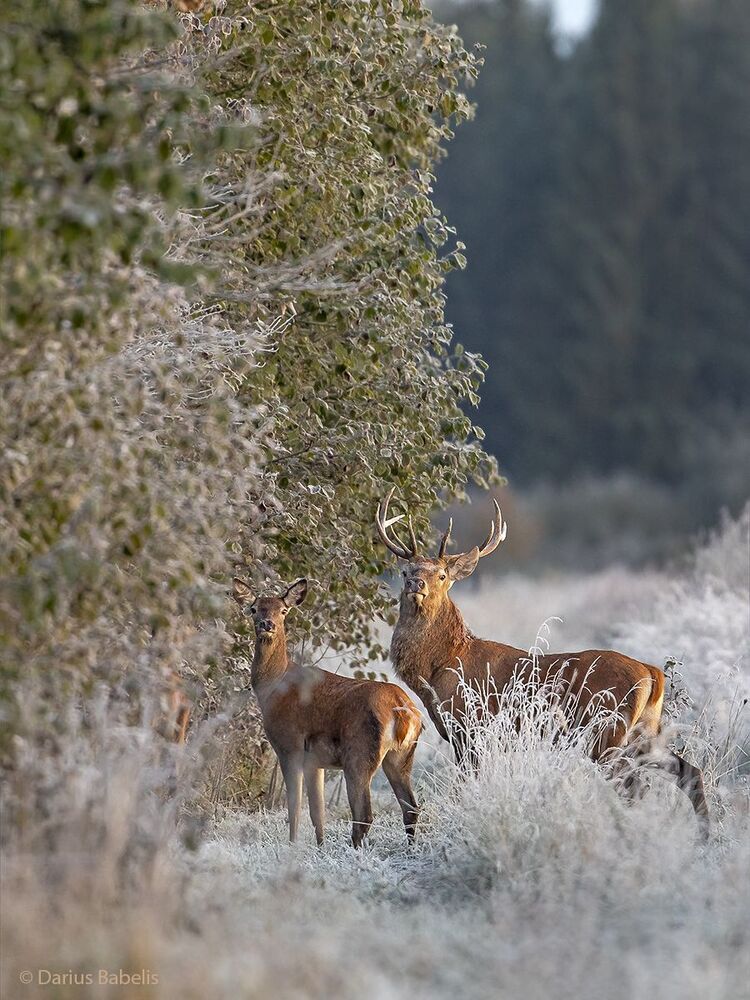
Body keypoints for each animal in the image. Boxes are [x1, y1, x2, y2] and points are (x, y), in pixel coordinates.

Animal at [232, 577, 423, 848]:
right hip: (401, 756)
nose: (267, 624)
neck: (274, 686)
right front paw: (320, 846)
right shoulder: (315, 761)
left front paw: (292, 846)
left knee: (364, 814)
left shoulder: (289, 745)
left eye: (283, 610)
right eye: (254, 608)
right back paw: (409, 849)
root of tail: (403, 710)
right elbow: (317, 812)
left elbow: (295, 808)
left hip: (359, 754)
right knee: (410, 808)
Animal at [375, 489, 710, 838]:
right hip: (644, 730)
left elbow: (465, 786)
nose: (416, 584)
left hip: (607, 729)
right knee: (688, 771)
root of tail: (652, 673)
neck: (438, 669)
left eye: (441, 574)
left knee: (634, 786)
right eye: (405, 571)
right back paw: (703, 835)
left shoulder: (472, 727)